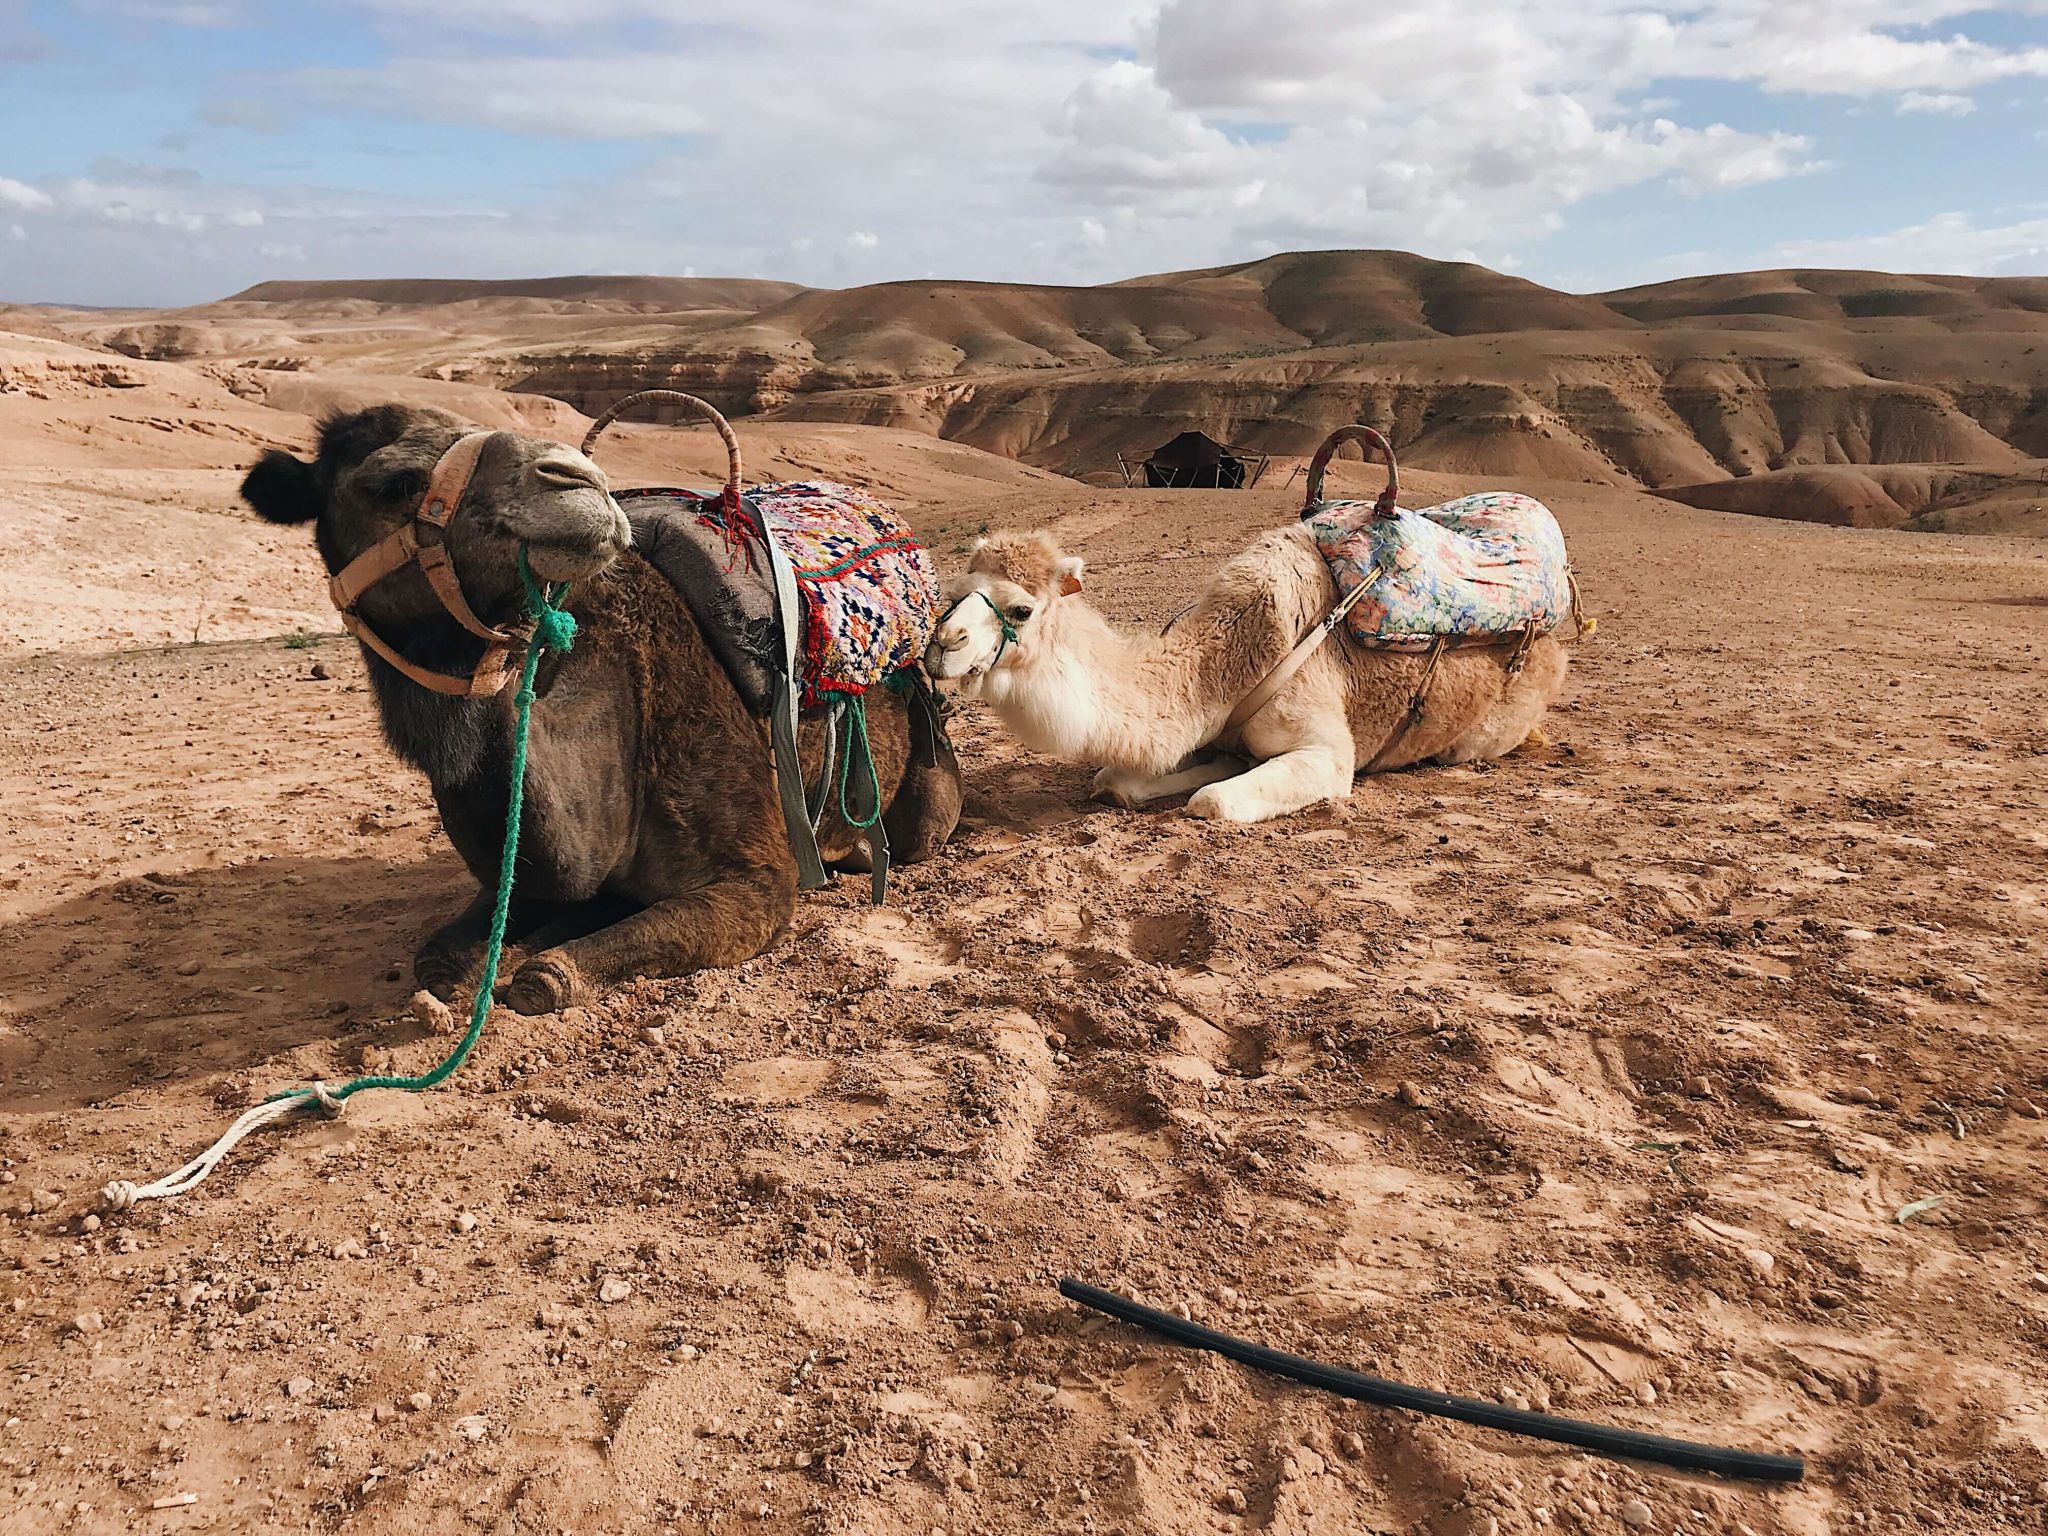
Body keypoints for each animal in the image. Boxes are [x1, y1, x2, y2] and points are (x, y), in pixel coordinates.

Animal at [243, 403, 962, 1015]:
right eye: (392, 482)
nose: (576, 480)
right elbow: (442, 962)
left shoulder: (759, 880)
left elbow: (545, 979)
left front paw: (543, 957)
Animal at [921, 520, 1572, 823]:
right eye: (955, 592)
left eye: (1021, 609)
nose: (942, 644)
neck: (1232, 659)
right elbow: (1116, 781)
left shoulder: (1327, 754)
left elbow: (1211, 801)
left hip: (1486, 732)